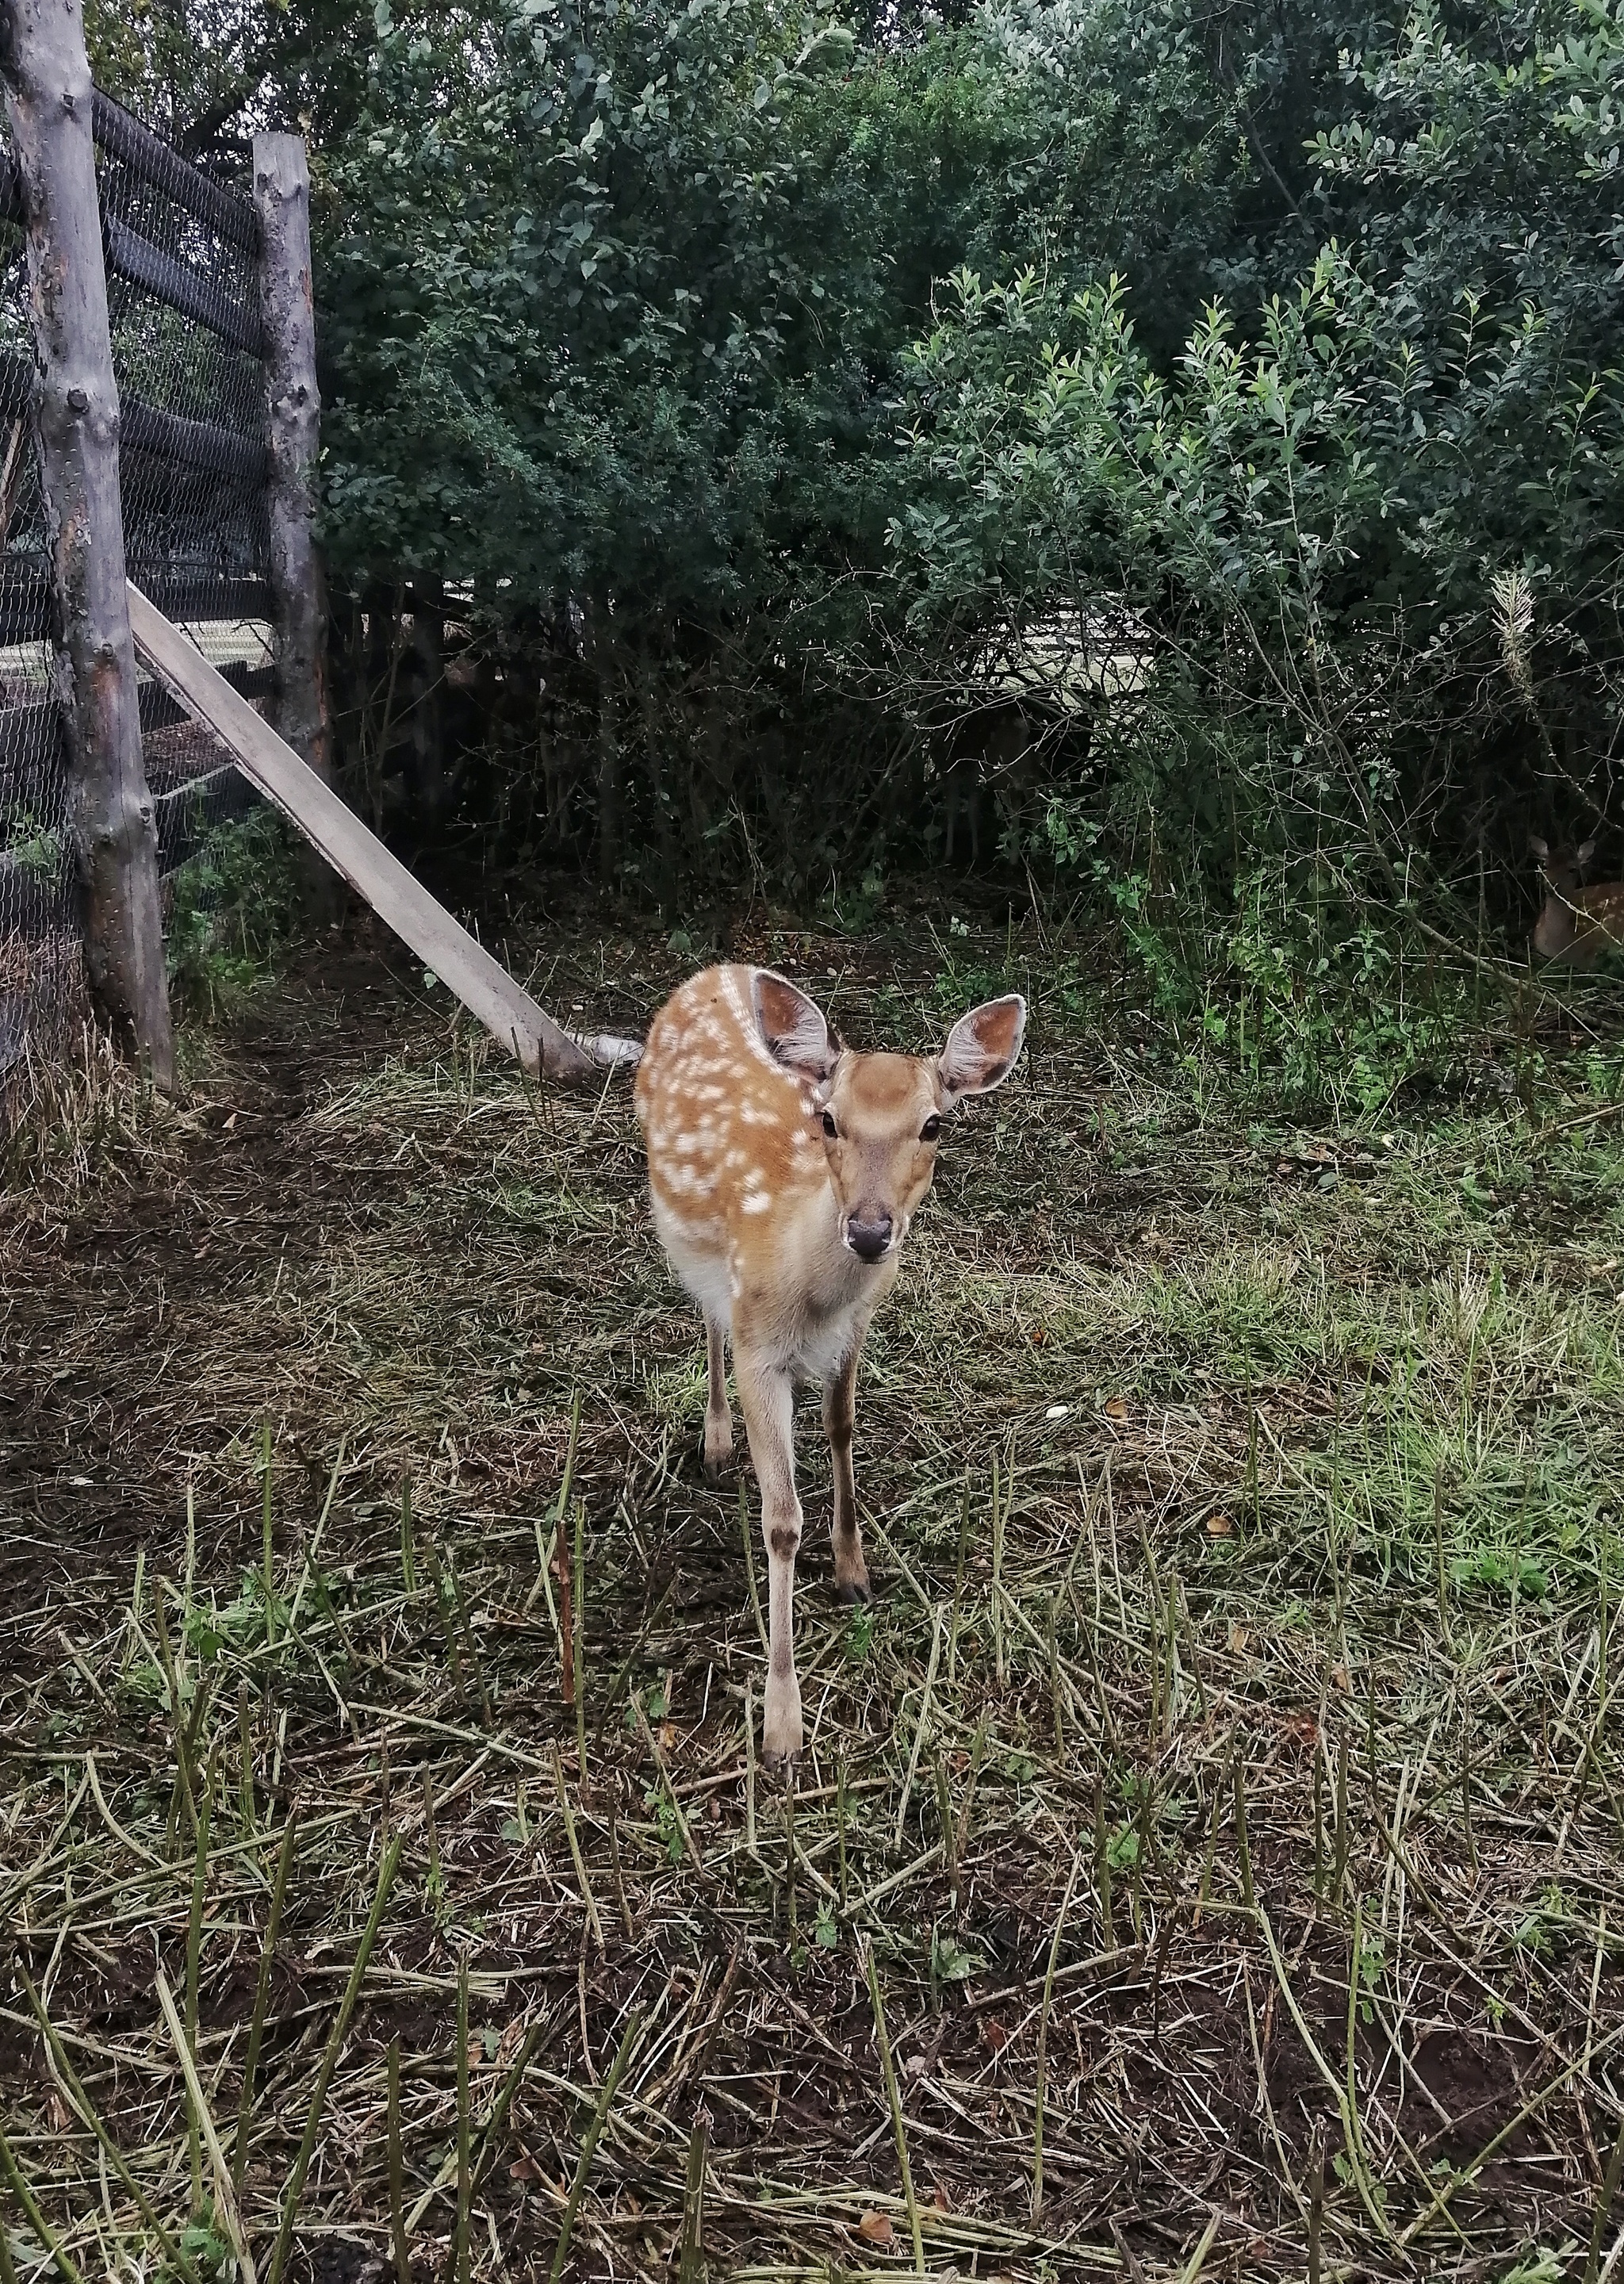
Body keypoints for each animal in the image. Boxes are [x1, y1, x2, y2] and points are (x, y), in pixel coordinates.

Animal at [630, 964, 1023, 1763]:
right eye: (830, 1120)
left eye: (933, 1124)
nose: (869, 1232)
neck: (811, 1293)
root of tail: (712, 972)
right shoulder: (759, 1349)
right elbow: (781, 1521)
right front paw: (781, 1723)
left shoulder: (856, 1328)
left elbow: (843, 1428)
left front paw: (854, 1572)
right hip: (686, 1241)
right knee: (706, 1315)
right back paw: (716, 1440)